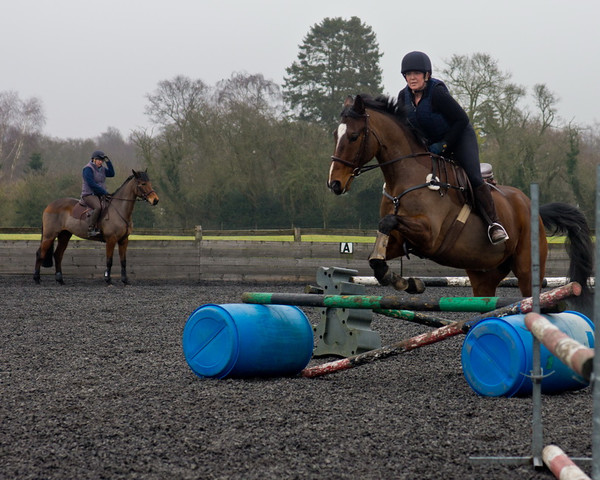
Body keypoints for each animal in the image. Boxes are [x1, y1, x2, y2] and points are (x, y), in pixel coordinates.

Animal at [328, 94, 596, 300]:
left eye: (353, 136)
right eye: (335, 135)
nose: (335, 183)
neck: (405, 179)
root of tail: (534, 209)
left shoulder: (429, 236)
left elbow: (388, 221)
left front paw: (405, 281)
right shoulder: (400, 241)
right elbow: (377, 255)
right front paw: (405, 281)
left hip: (527, 269)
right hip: (484, 273)